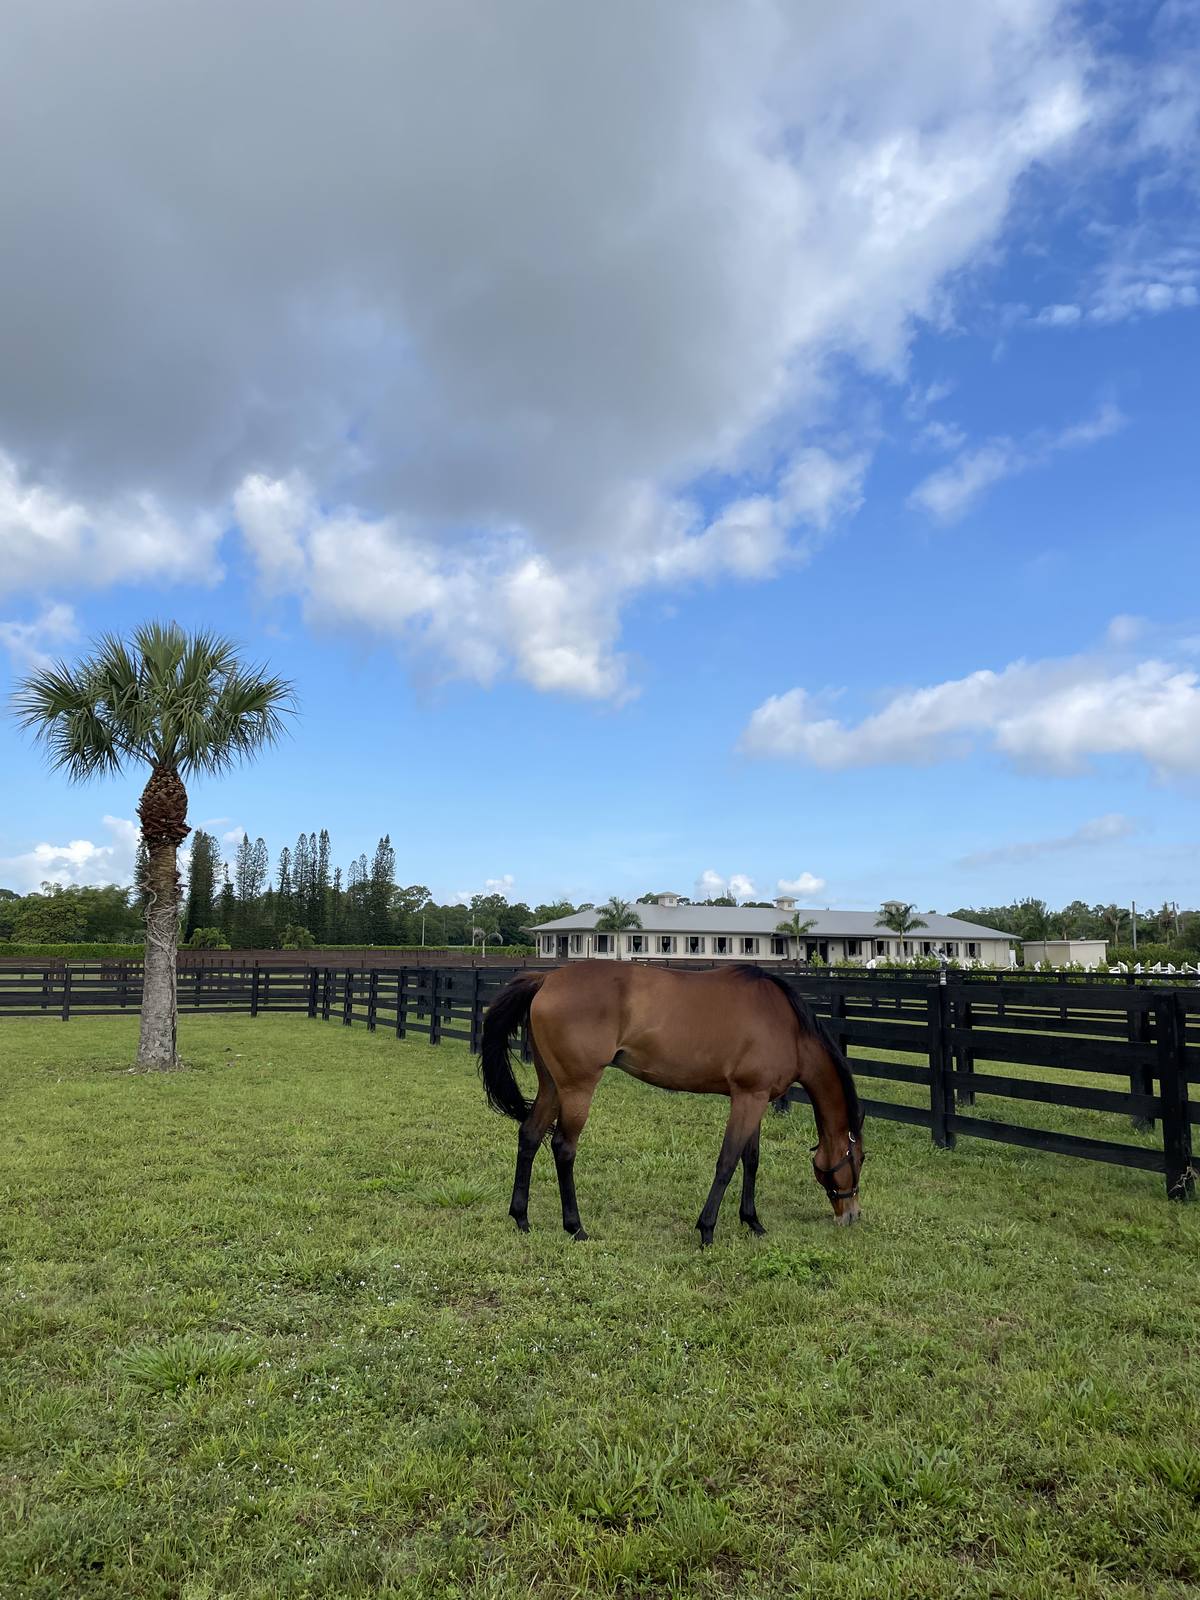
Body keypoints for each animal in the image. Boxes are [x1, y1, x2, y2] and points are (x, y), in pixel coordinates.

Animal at [480, 961, 864, 1245]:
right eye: (859, 1160)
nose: (852, 1215)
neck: (786, 1026)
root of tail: (546, 978)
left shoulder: (756, 1099)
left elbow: (751, 1160)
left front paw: (752, 1222)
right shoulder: (747, 1098)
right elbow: (727, 1163)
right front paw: (707, 1230)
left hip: (552, 1086)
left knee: (530, 1136)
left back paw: (521, 1218)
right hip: (577, 1088)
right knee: (563, 1147)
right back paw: (575, 1227)